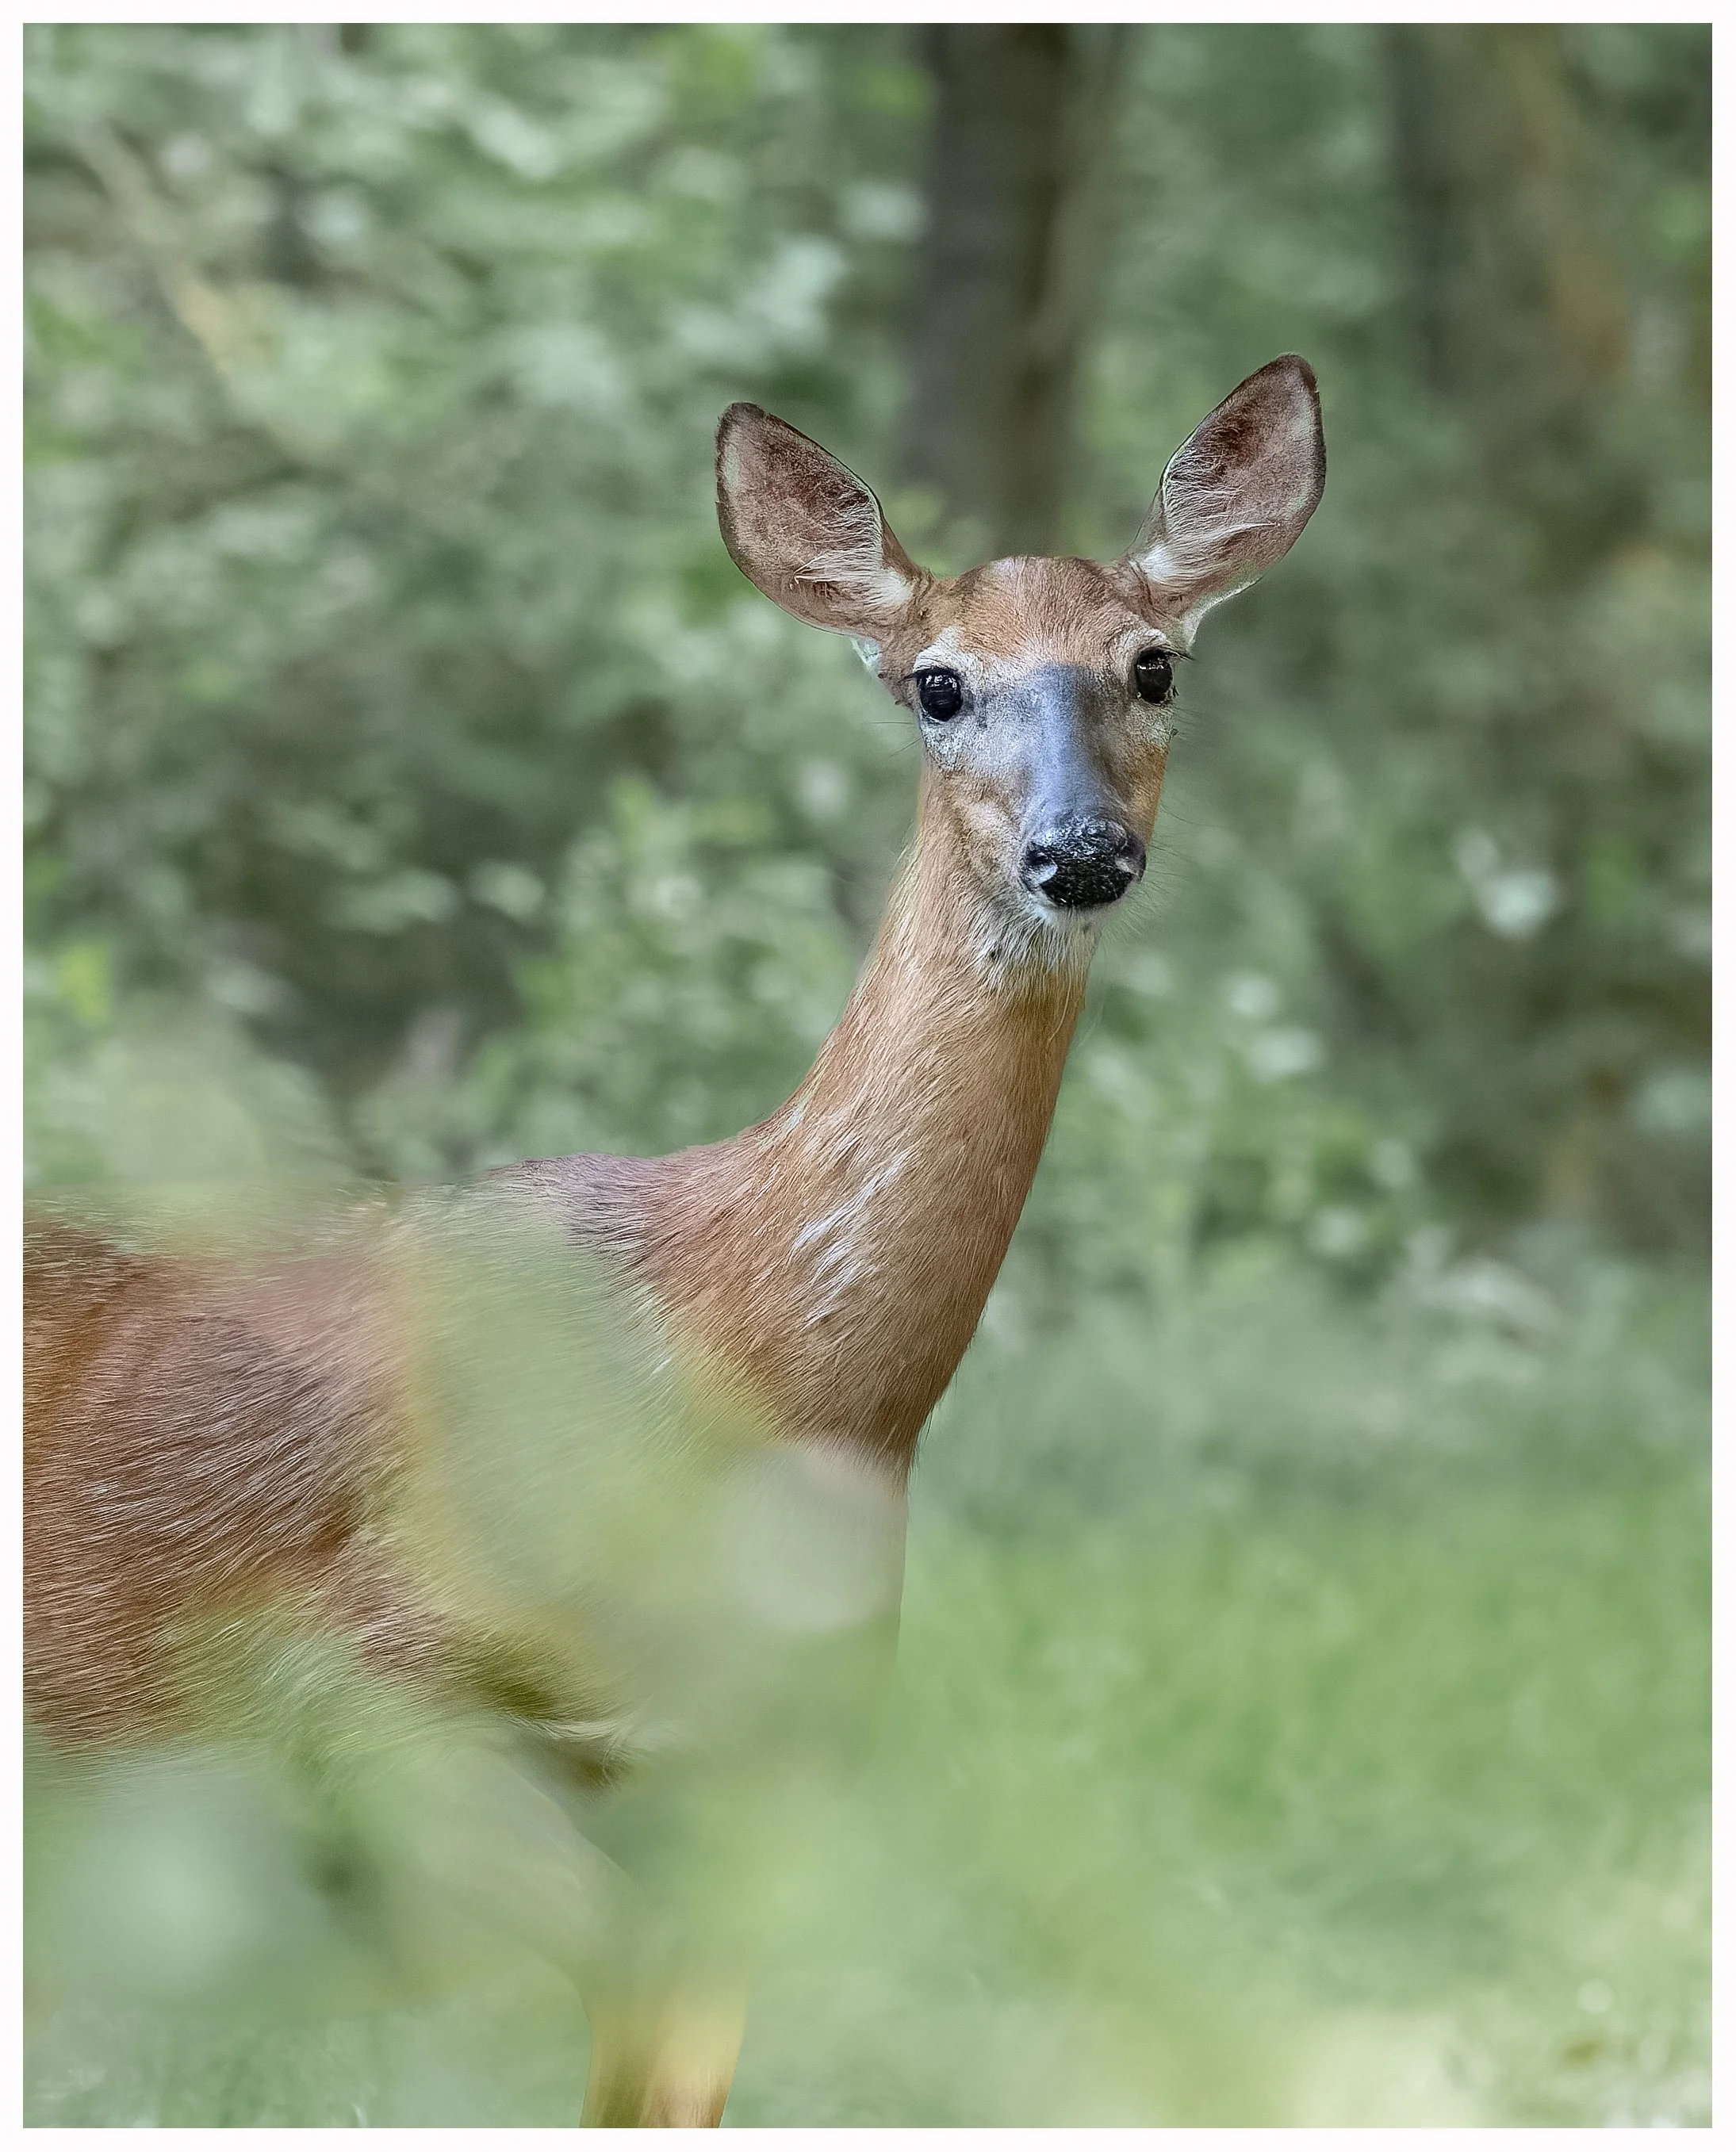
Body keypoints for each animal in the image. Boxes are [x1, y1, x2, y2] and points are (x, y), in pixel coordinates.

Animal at [24, 355, 1325, 2126]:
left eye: (1151, 664)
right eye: (934, 683)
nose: (1078, 852)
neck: (753, 1371)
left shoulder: (755, 1788)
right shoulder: (366, 1696)